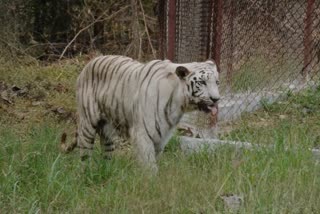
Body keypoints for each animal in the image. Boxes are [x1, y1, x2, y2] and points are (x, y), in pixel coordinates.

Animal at [60, 54, 220, 172]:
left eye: (217, 82)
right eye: (202, 82)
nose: (216, 99)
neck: (179, 103)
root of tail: (89, 63)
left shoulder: (162, 137)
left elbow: (155, 159)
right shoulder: (142, 134)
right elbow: (150, 165)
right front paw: (151, 185)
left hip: (108, 131)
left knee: (106, 154)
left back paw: (107, 172)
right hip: (88, 124)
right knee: (84, 154)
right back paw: (85, 174)